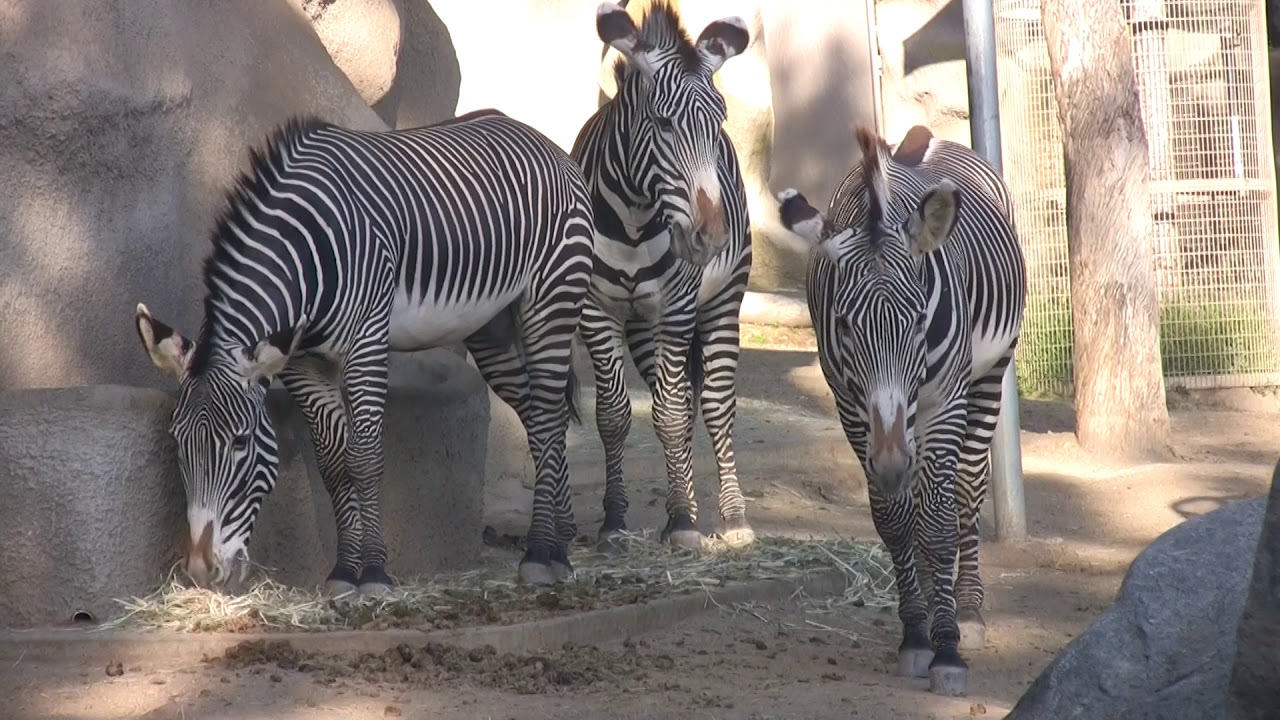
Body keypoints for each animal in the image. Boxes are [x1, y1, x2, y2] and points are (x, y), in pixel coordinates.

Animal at [133, 109, 595, 595]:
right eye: (177, 440)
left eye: (240, 442)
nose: (202, 570)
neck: (307, 256)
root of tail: (538, 137)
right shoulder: (301, 362)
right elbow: (333, 463)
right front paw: (343, 572)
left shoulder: (367, 342)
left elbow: (365, 458)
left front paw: (374, 573)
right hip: (493, 328)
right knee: (539, 417)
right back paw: (561, 540)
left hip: (553, 300)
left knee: (548, 417)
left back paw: (541, 554)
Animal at [570, 1, 755, 553]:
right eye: (661, 123)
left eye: (719, 123)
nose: (710, 238)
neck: (633, 217)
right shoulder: (597, 313)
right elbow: (616, 416)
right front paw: (614, 521)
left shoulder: (677, 309)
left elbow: (672, 415)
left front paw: (686, 524)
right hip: (641, 326)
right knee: (676, 402)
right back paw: (684, 504)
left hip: (722, 303)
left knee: (714, 405)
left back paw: (732, 518)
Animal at [776, 125, 1027, 697]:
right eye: (845, 325)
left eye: (916, 320)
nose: (890, 463)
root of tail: (922, 135)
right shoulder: (852, 406)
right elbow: (895, 521)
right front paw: (917, 634)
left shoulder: (944, 400)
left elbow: (936, 523)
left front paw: (949, 648)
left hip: (989, 375)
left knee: (964, 491)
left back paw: (967, 610)